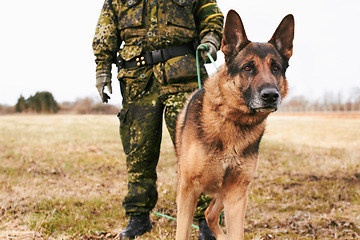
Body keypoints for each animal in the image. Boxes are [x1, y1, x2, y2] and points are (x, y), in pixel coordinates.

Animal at [175, 9, 296, 240]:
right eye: (247, 68)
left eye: (276, 68)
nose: (271, 96)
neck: (232, 121)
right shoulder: (188, 190)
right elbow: (182, 232)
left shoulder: (237, 193)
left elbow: (236, 232)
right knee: (208, 213)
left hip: (224, 194)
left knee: (210, 214)